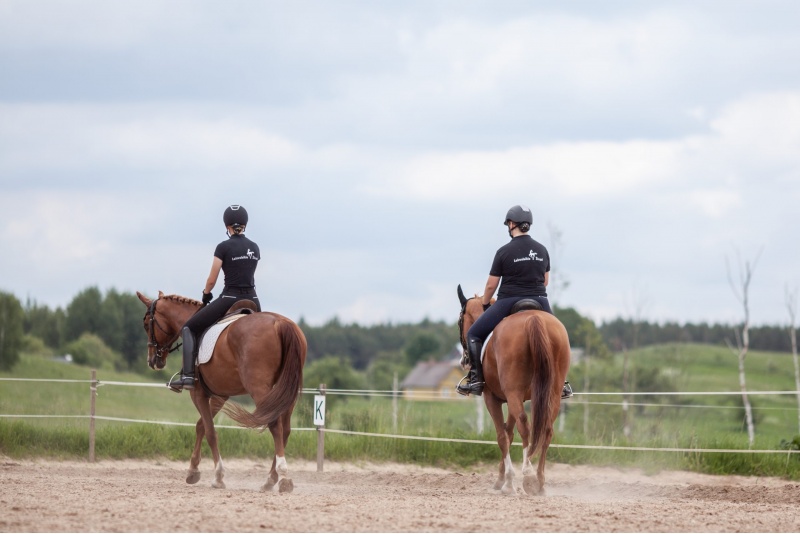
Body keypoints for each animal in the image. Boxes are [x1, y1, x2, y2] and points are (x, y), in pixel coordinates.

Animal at [136, 294, 304, 494]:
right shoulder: (219, 395)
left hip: (260, 389)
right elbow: (201, 426)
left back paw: (282, 478)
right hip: (286, 391)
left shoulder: (198, 393)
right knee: (285, 430)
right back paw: (271, 480)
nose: (153, 361)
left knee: (275, 426)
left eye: (146, 324)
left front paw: (217, 476)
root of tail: (280, 323)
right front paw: (193, 471)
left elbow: (210, 431)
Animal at [456, 286, 568, 496]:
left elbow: (502, 436)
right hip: (553, 392)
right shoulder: (515, 399)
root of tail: (533, 318)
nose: (464, 360)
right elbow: (509, 433)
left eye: (460, 321)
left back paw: (528, 475)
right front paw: (502, 479)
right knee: (546, 429)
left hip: (513, 391)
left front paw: (507, 482)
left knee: (525, 426)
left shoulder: (493, 398)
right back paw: (540, 482)